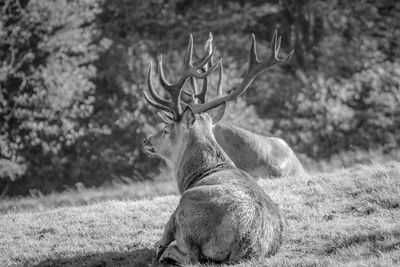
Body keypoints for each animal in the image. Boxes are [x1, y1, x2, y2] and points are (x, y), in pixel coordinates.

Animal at [144, 31, 288, 266]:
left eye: (165, 130)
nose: (146, 140)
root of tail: (247, 241)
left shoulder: (173, 217)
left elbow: (161, 240)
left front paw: (160, 249)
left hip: (187, 208)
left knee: (190, 256)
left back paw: (166, 254)